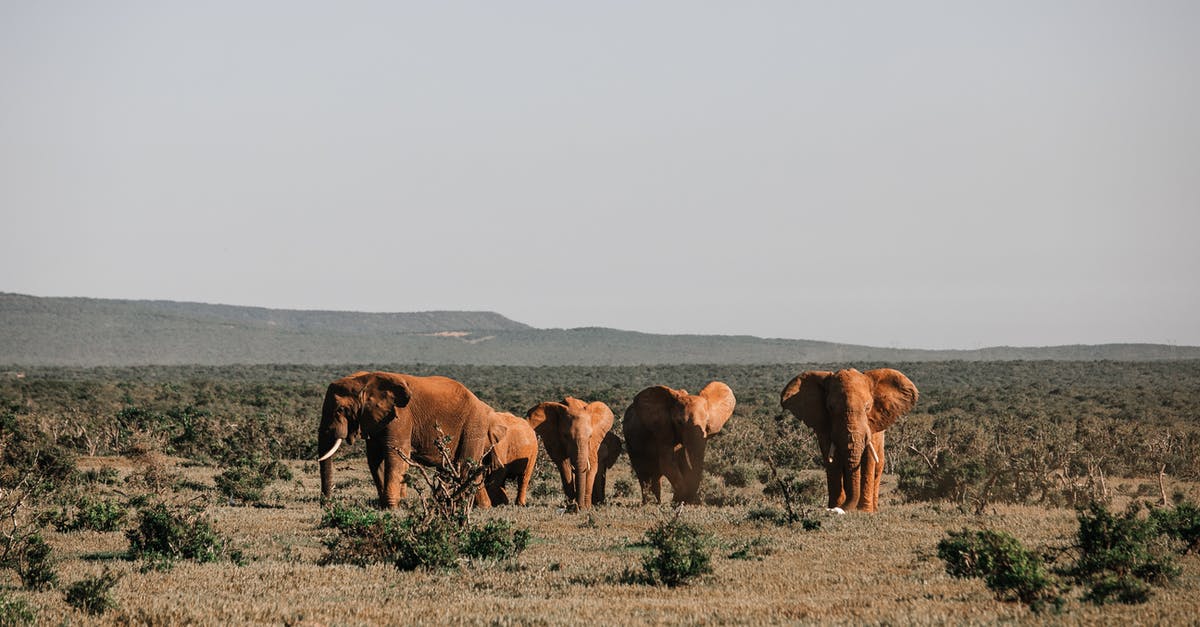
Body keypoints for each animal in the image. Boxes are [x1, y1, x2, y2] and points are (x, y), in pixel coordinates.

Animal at [314, 369, 506, 506]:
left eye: (340, 410)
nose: (326, 503)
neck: (365, 380)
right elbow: (374, 458)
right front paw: (384, 505)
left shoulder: (401, 416)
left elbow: (395, 455)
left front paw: (391, 507)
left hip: (474, 424)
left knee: (466, 466)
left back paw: (466, 506)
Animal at [777, 367, 916, 509]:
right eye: (830, 408)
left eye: (868, 407)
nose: (843, 508)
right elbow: (832, 461)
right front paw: (835, 507)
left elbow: (868, 460)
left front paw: (864, 510)